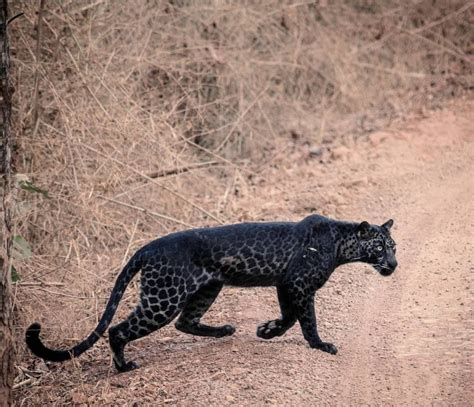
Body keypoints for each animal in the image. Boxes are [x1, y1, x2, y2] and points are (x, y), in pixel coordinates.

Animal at [25, 217, 396, 372]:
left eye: (394, 246)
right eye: (380, 248)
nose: (394, 265)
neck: (341, 243)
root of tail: (146, 247)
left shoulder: (285, 284)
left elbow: (289, 316)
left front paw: (266, 331)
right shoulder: (299, 284)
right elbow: (306, 320)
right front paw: (321, 345)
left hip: (207, 288)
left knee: (186, 322)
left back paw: (224, 330)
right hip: (163, 298)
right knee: (118, 330)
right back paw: (124, 366)